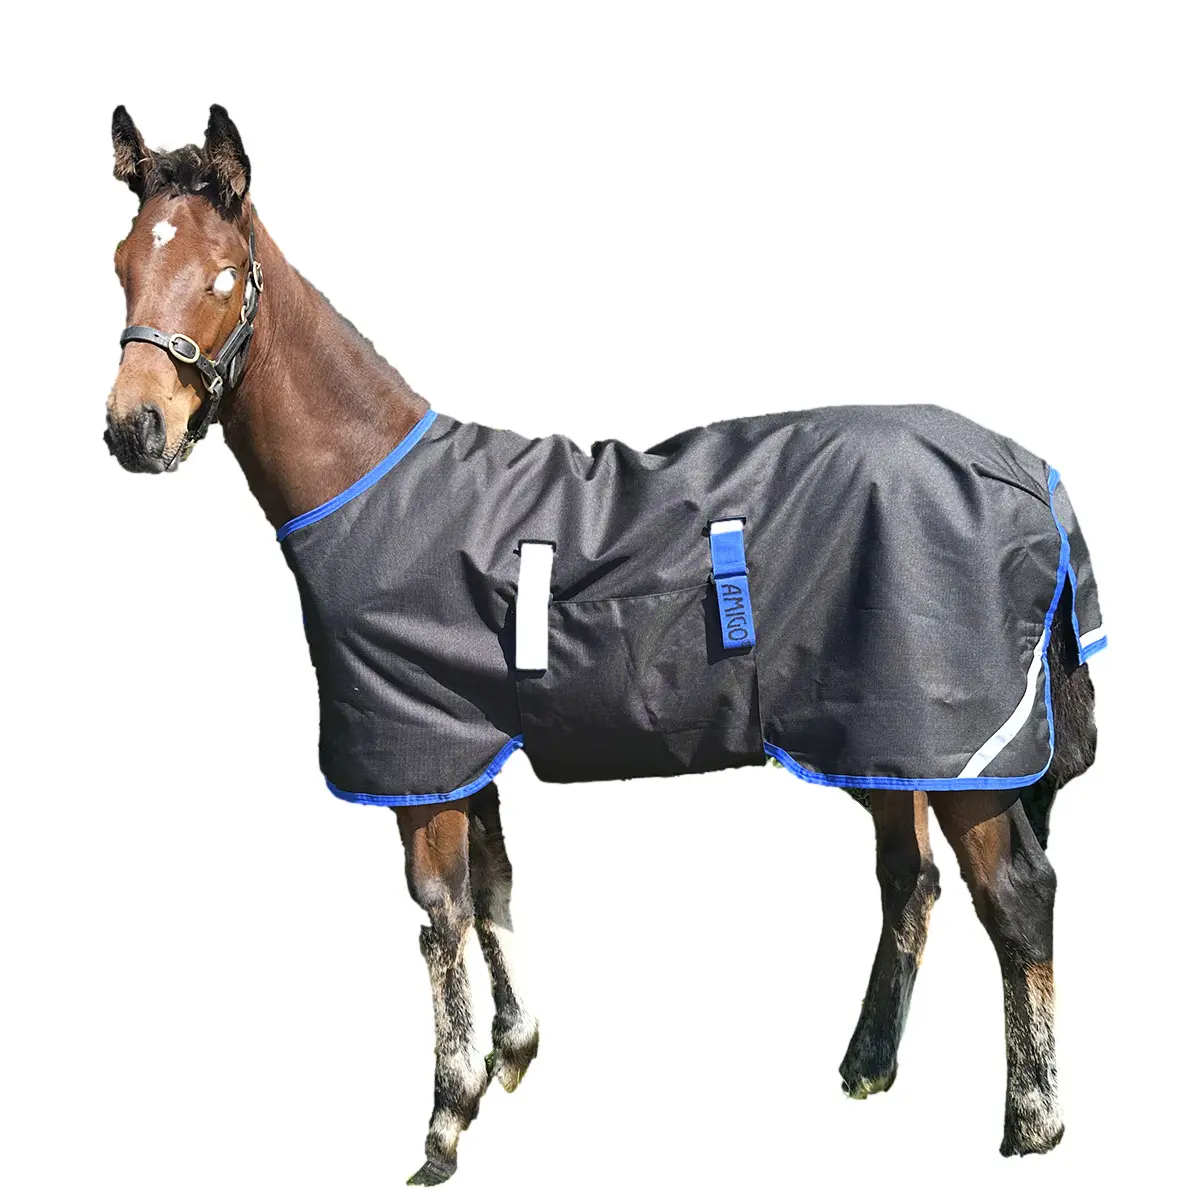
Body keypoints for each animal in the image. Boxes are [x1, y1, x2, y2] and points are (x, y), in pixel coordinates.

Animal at [103, 105, 1101, 1184]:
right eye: (123, 262)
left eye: (222, 275)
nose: (135, 428)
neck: (379, 494)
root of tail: (1028, 472)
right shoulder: (469, 744)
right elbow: (494, 888)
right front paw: (511, 1055)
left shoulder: (420, 752)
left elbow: (441, 917)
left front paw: (445, 1123)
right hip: (881, 737)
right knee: (908, 883)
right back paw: (867, 1067)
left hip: (962, 748)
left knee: (1016, 895)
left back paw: (1031, 1123)